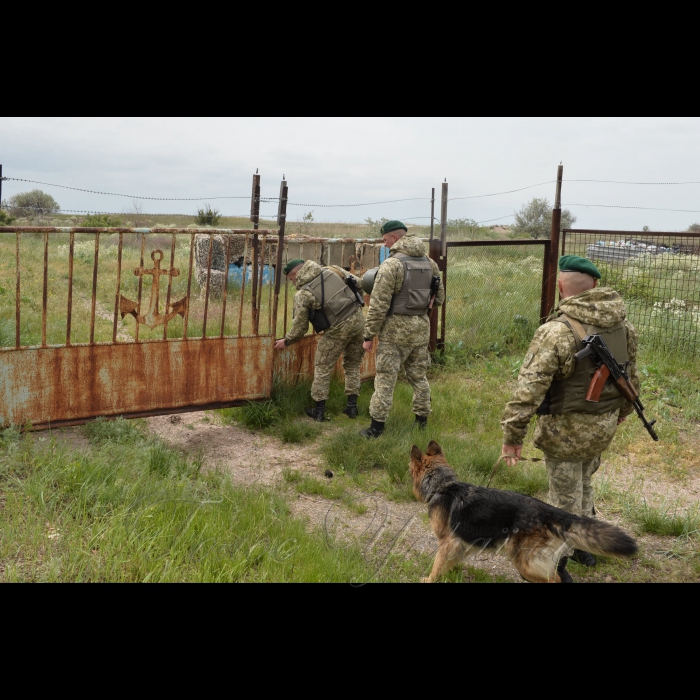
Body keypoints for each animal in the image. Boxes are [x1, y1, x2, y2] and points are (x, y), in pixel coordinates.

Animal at [408, 442, 636, 584]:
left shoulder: (447, 542)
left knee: (555, 579)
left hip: (525, 562)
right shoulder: (460, 543)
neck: (443, 486)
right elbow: (450, 563)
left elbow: (437, 565)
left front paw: (430, 579)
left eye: (410, 471)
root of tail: (552, 511)